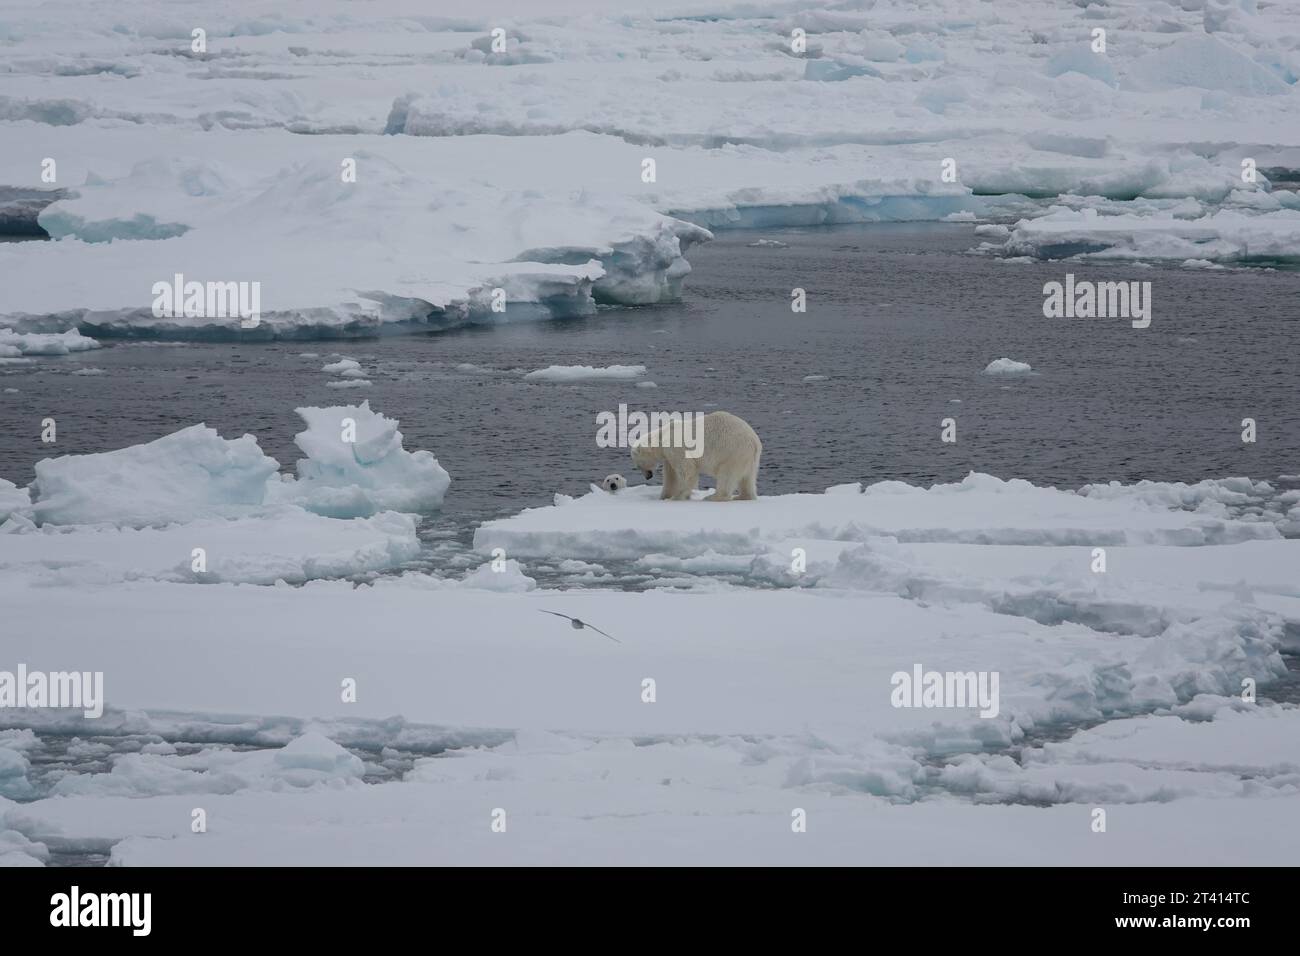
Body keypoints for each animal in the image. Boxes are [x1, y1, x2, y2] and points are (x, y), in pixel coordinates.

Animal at [630, 410, 761, 502]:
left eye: (638, 465)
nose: (648, 476)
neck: (663, 436)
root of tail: (755, 441)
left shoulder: (676, 447)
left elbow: (687, 471)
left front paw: (676, 497)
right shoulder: (668, 457)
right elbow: (671, 476)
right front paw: (664, 496)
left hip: (732, 452)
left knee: (727, 475)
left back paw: (713, 497)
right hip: (749, 458)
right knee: (747, 478)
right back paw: (743, 496)